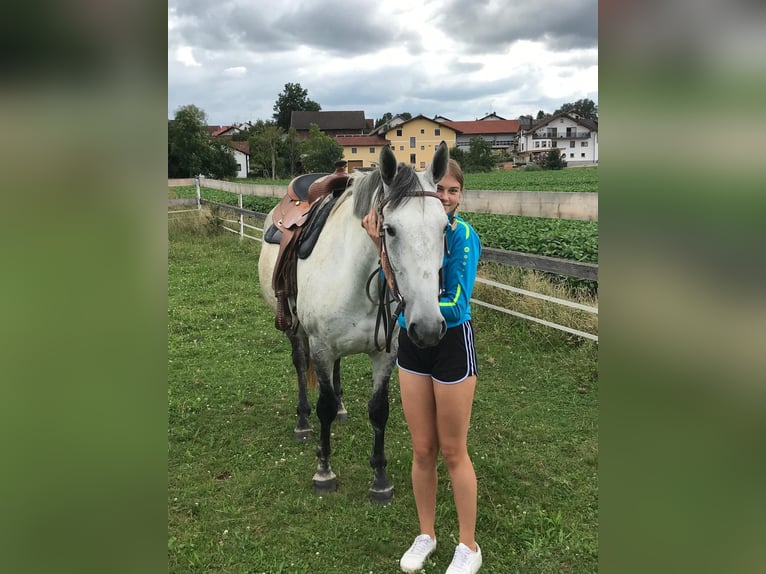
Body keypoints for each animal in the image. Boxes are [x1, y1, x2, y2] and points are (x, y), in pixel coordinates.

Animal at [260, 142, 450, 502]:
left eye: (445, 227)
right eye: (389, 229)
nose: (429, 328)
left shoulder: (385, 353)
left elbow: (379, 410)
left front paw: (380, 479)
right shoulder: (321, 347)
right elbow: (322, 406)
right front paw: (324, 471)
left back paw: (342, 407)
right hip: (294, 328)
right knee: (299, 364)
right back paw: (303, 422)